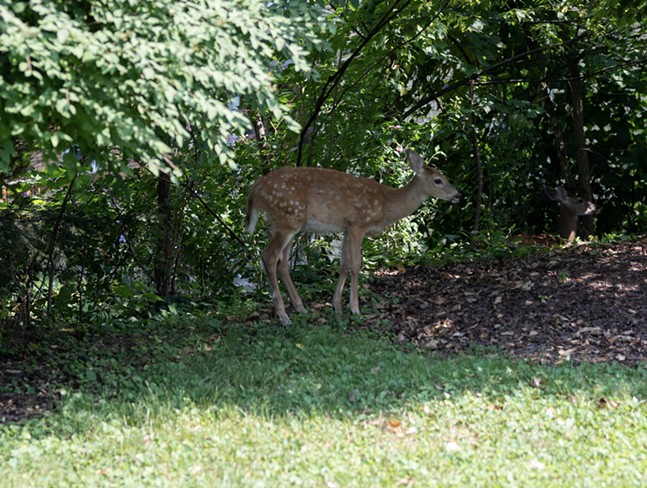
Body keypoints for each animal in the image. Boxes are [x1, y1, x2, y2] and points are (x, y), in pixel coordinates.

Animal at [246, 149, 464, 324]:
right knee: (269, 257)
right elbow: (356, 265)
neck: (386, 204)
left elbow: (343, 265)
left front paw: (337, 306)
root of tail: (255, 190)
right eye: (438, 180)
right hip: (288, 217)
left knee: (282, 263)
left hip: (290, 223)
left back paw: (301, 309)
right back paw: (283, 316)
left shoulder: (346, 227)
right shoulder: (358, 223)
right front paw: (355, 309)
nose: (457, 195)